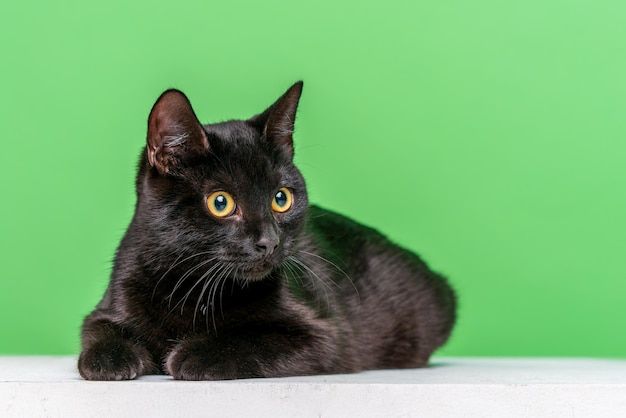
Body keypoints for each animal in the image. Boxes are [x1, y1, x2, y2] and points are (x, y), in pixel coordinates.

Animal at [79, 81, 458, 378]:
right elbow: (96, 334)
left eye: (281, 198)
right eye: (220, 202)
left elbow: (251, 339)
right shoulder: (108, 305)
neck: (191, 287)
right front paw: (108, 359)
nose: (269, 241)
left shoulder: (325, 335)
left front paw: (193, 354)